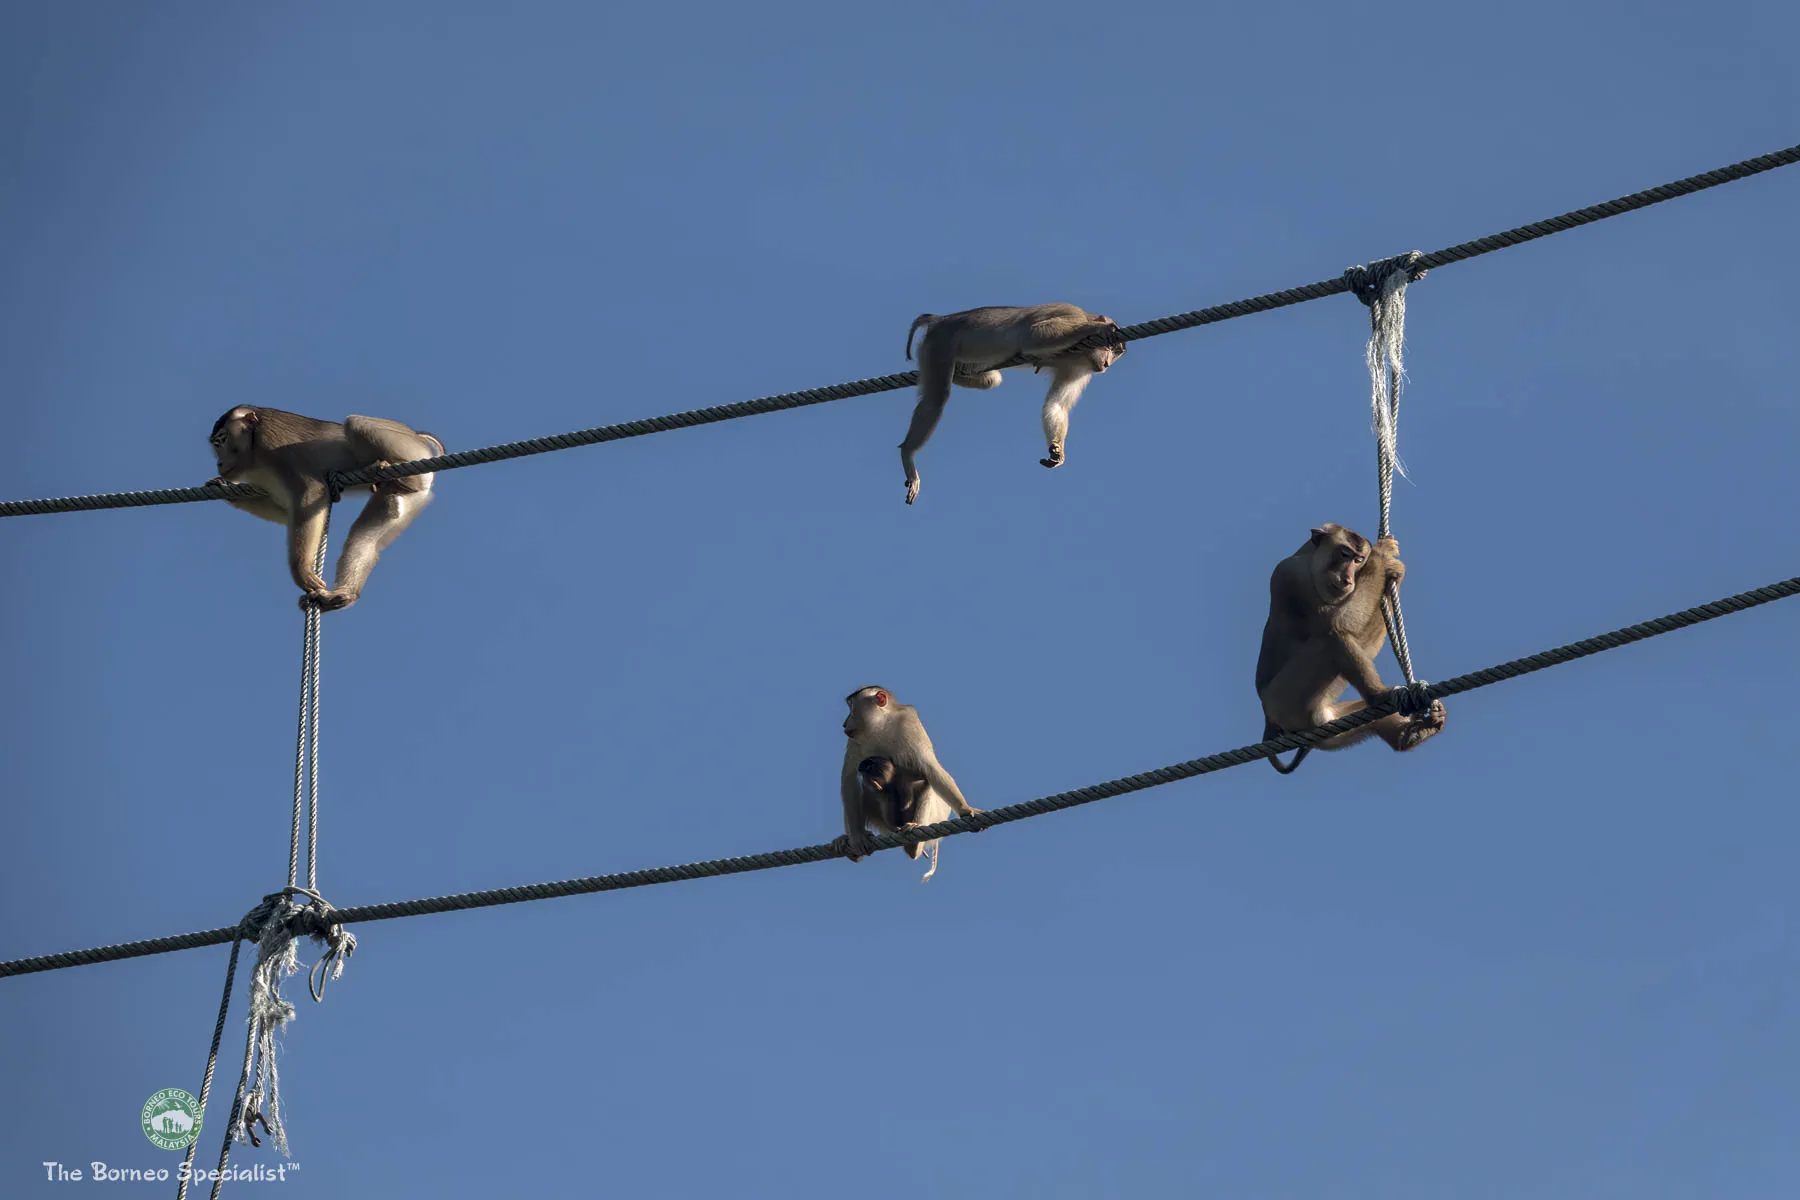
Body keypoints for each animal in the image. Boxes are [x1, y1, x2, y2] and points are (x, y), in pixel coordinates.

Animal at [207, 406, 442, 611]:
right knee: (370, 531)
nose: (219, 463)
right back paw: (343, 595)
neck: (254, 452)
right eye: (215, 445)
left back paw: (401, 477)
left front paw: (301, 569)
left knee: (356, 422)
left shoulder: (271, 443)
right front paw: (224, 487)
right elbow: (286, 511)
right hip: (410, 496)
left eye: (222, 440)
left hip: (409, 448)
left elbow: (311, 492)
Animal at [837, 687, 982, 879]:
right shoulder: (855, 740)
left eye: (852, 708)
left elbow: (930, 768)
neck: (881, 725)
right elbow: (849, 779)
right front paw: (858, 836)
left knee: (928, 784)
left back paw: (914, 845)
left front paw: (966, 809)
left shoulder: (908, 723)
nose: (845, 723)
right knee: (866, 790)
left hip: (936, 814)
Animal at [899, 303, 1126, 504]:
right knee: (936, 398)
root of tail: (941, 319)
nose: (1107, 364)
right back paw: (907, 452)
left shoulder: (1078, 368)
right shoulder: (1071, 313)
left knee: (990, 380)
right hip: (939, 345)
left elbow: (1056, 405)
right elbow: (1034, 334)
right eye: (1110, 347)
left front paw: (1057, 450)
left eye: (1115, 354)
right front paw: (1097, 328)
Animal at [1255, 523, 1446, 773]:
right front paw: (1382, 555)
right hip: (1284, 700)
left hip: (1326, 722)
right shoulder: (1290, 575)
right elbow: (1337, 622)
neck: (1309, 561)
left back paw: (1410, 734)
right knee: (1331, 637)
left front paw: (1394, 571)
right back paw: (1379, 697)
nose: (1348, 579)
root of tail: (1271, 721)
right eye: (1345, 554)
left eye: (1359, 560)